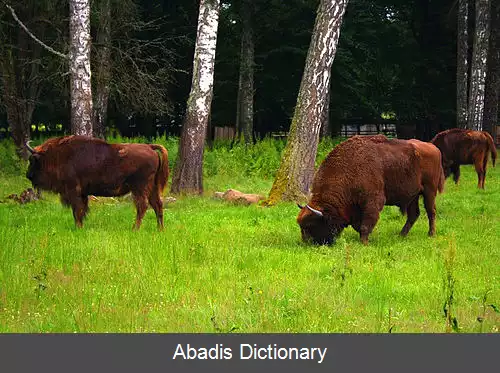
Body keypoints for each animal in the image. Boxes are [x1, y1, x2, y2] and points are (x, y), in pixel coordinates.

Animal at [25, 136, 170, 230]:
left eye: (32, 160)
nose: (28, 175)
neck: (58, 155)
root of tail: (150, 147)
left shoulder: (74, 191)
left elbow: (77, 210)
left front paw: (78, 227)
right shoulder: (82, 193)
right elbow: (81, 210)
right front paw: (81, 226)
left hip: (139, 188)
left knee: (143, 206)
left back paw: (135, 229)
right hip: (152, 187)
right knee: (157, 205)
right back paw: (160, 229)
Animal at [294, 135, 444, 246]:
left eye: (310, 225)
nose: (305, 243)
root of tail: (434, 148)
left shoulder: (372, 201)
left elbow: (365, 225)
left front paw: (364, 243)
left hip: (429, 192)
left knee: (431, 212)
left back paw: (431, 234)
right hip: (413, 196)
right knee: (414, 214)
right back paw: (401, 235)